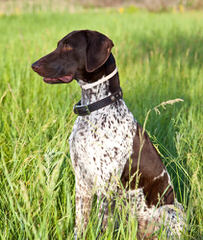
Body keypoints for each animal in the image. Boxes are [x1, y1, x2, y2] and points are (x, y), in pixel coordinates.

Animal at [31, 29, 184, 238]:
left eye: (68, 46)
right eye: (59, 44)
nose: (34, 65)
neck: (94, 111)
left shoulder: (106, 187)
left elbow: (101, 228)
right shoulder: (82, 182)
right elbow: (80, 225)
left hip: (172, 209)